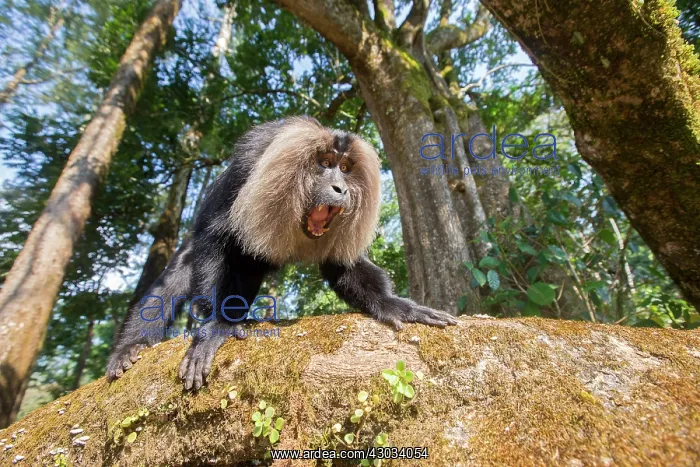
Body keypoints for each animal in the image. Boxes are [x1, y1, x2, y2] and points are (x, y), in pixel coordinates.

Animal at [106, 116, 457, 391]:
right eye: (325, 164)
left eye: (345, 168)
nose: (341, 189)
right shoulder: (251, 159)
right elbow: (213, 237)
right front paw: (215, 326)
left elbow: (341, 265)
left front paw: (393, 305)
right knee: (179, 272)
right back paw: (130, 347)